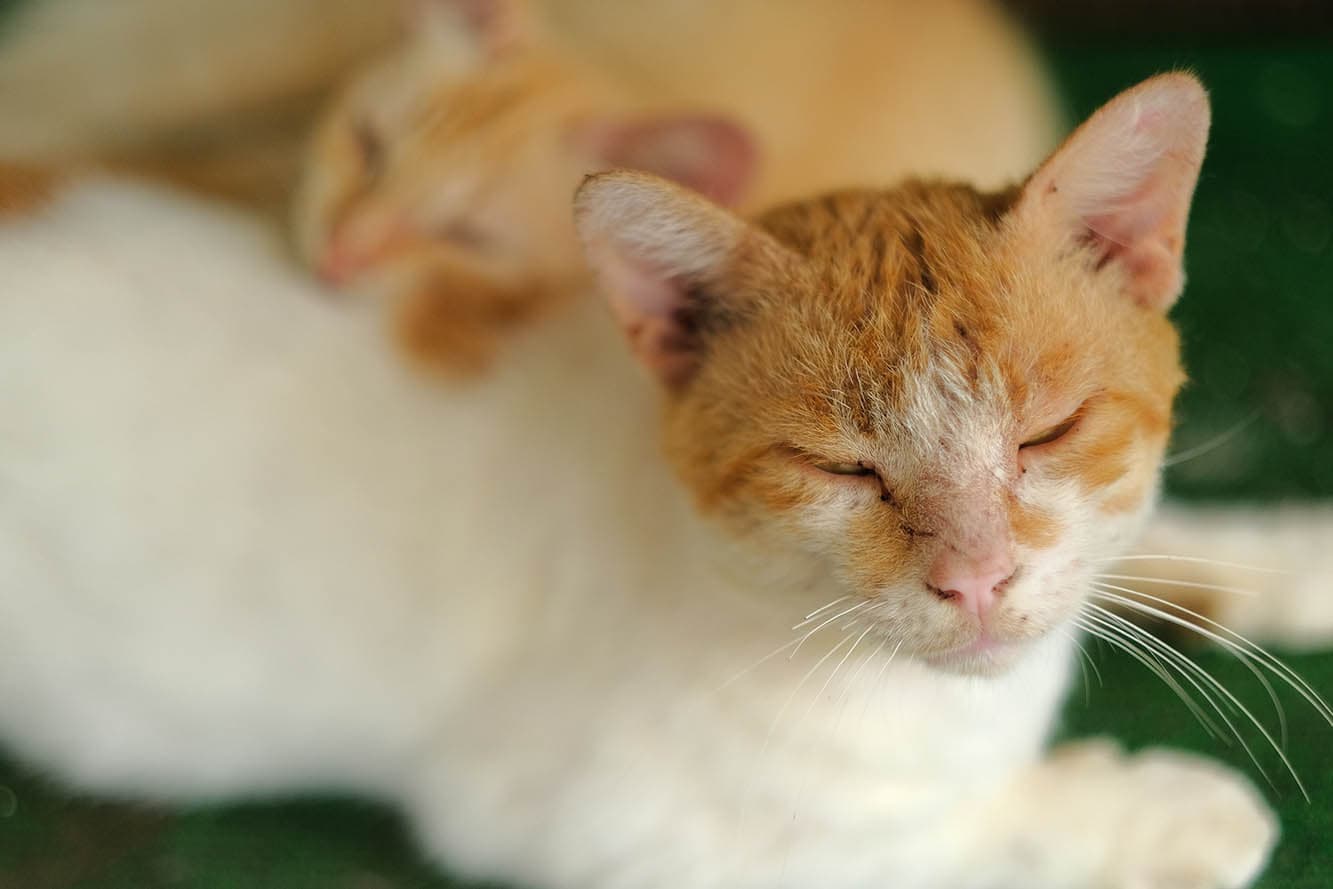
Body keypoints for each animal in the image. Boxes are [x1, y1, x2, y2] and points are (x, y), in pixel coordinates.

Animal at [0, 76, 1301, 889]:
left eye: (1048, 433)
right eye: (840, 466)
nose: (977, 577)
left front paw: (1283, 553)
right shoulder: (581, 824)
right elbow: (933, 843)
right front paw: (1154, 813)